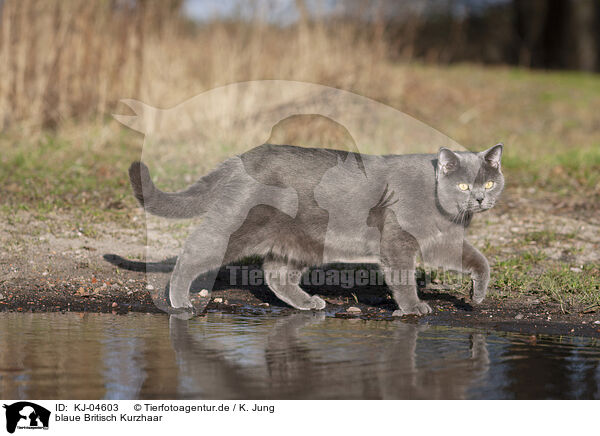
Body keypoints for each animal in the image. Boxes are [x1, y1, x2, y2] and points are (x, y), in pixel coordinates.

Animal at [129, 144, 504, 316]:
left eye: (488, 182)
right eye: (463, 186)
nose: (481, 198)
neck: (444, 211)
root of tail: (243, 156)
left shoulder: (444, 241)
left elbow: (480, 261)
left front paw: (477, 295)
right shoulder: (399, 242)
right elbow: (403, 278)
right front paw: (413, 307)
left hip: (304, 239)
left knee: (275, 272)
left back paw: (308, 303)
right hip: (240, 225)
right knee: (193, 251)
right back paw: (179, 302)